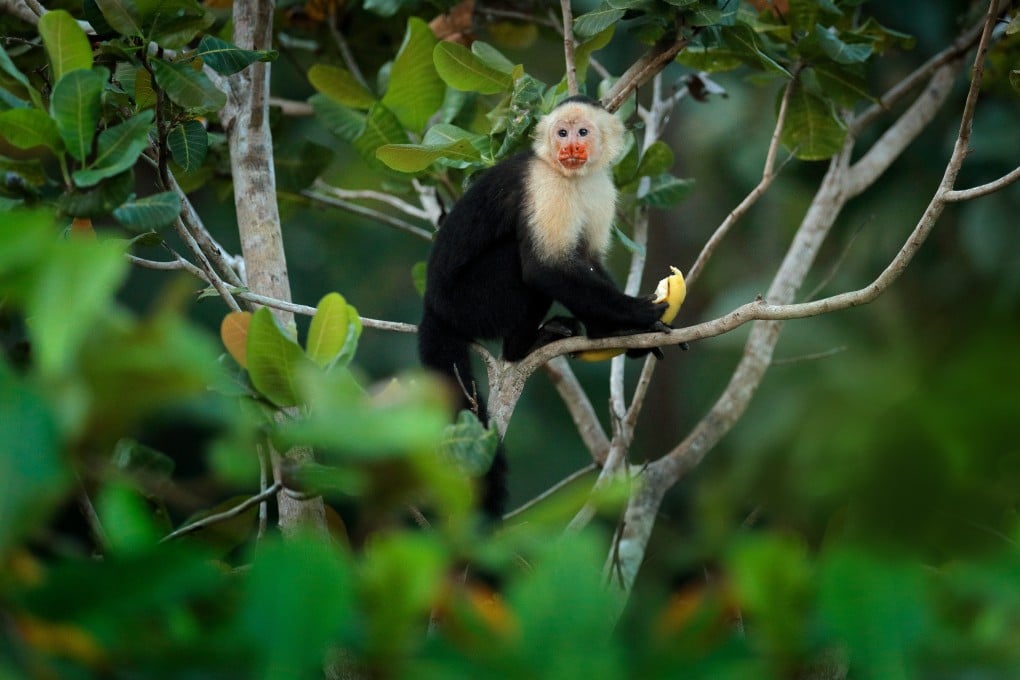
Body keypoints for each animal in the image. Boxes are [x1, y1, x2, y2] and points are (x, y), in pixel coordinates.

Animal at [418, 95, 669, 518]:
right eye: (561, 132)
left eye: (582, 132)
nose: (571, 146)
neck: (571, 176)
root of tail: (432, 305)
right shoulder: (546, 186)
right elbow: (545, 269)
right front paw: (636, 315)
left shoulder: (601, 188)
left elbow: (588, 260)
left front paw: (622, 331)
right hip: (469, 302)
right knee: (518, 262)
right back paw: (521, 347)